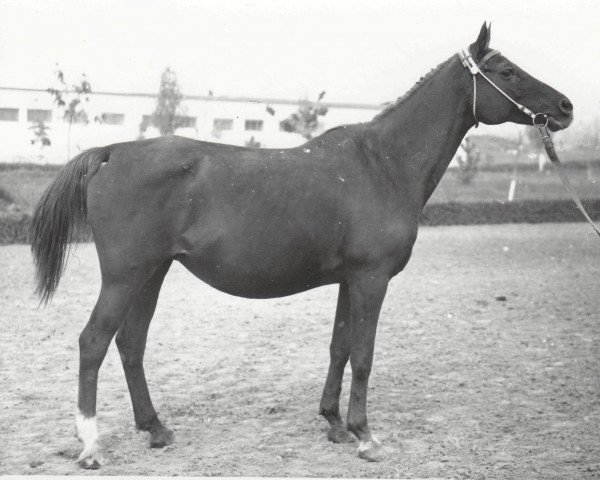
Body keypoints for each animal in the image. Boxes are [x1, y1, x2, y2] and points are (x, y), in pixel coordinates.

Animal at [30, 23, 576, 468]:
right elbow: (364, 353)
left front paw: (334, 424)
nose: (566, 107)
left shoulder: (348, 280)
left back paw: (157, 430)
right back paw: (92, 447)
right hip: (125, 276)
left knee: (131, 344)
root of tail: (113, 151)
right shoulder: (371, 280)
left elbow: (339, 346)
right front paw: (365, 436)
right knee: (93, 342)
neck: (382, 164)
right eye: (506, 71)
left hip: (153, 273)